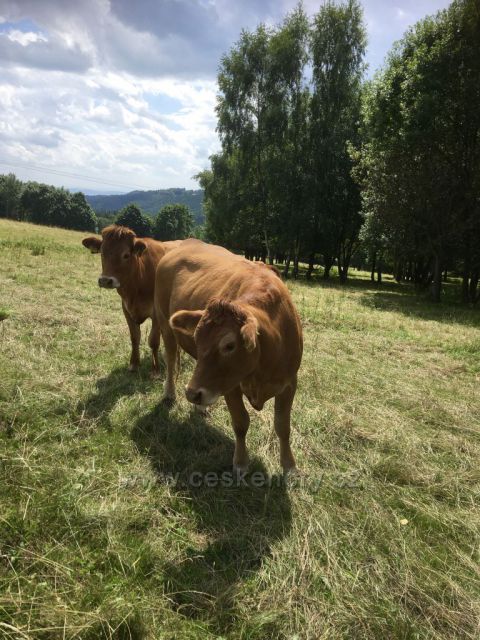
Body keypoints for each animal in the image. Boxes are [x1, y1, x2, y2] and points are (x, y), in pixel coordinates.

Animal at [82, 225, 182, 375]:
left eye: (126, 255)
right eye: (102, 253)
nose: (105, 281)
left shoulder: (156, 313)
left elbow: (153, 341)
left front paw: (155, 370)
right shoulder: (126, 309)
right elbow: (134, 337)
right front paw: (134, 364)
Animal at [153, 239, 303, 474]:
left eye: (229, 345)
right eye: (197, 338)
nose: (191, 393)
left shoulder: (289, 384)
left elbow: (283, 426)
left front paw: (289, 465)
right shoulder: (230, 386)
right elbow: (240, 423)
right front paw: (241, 462)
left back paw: (200, 406)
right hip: (164, 323)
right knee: (170, 360)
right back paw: (171, 393)